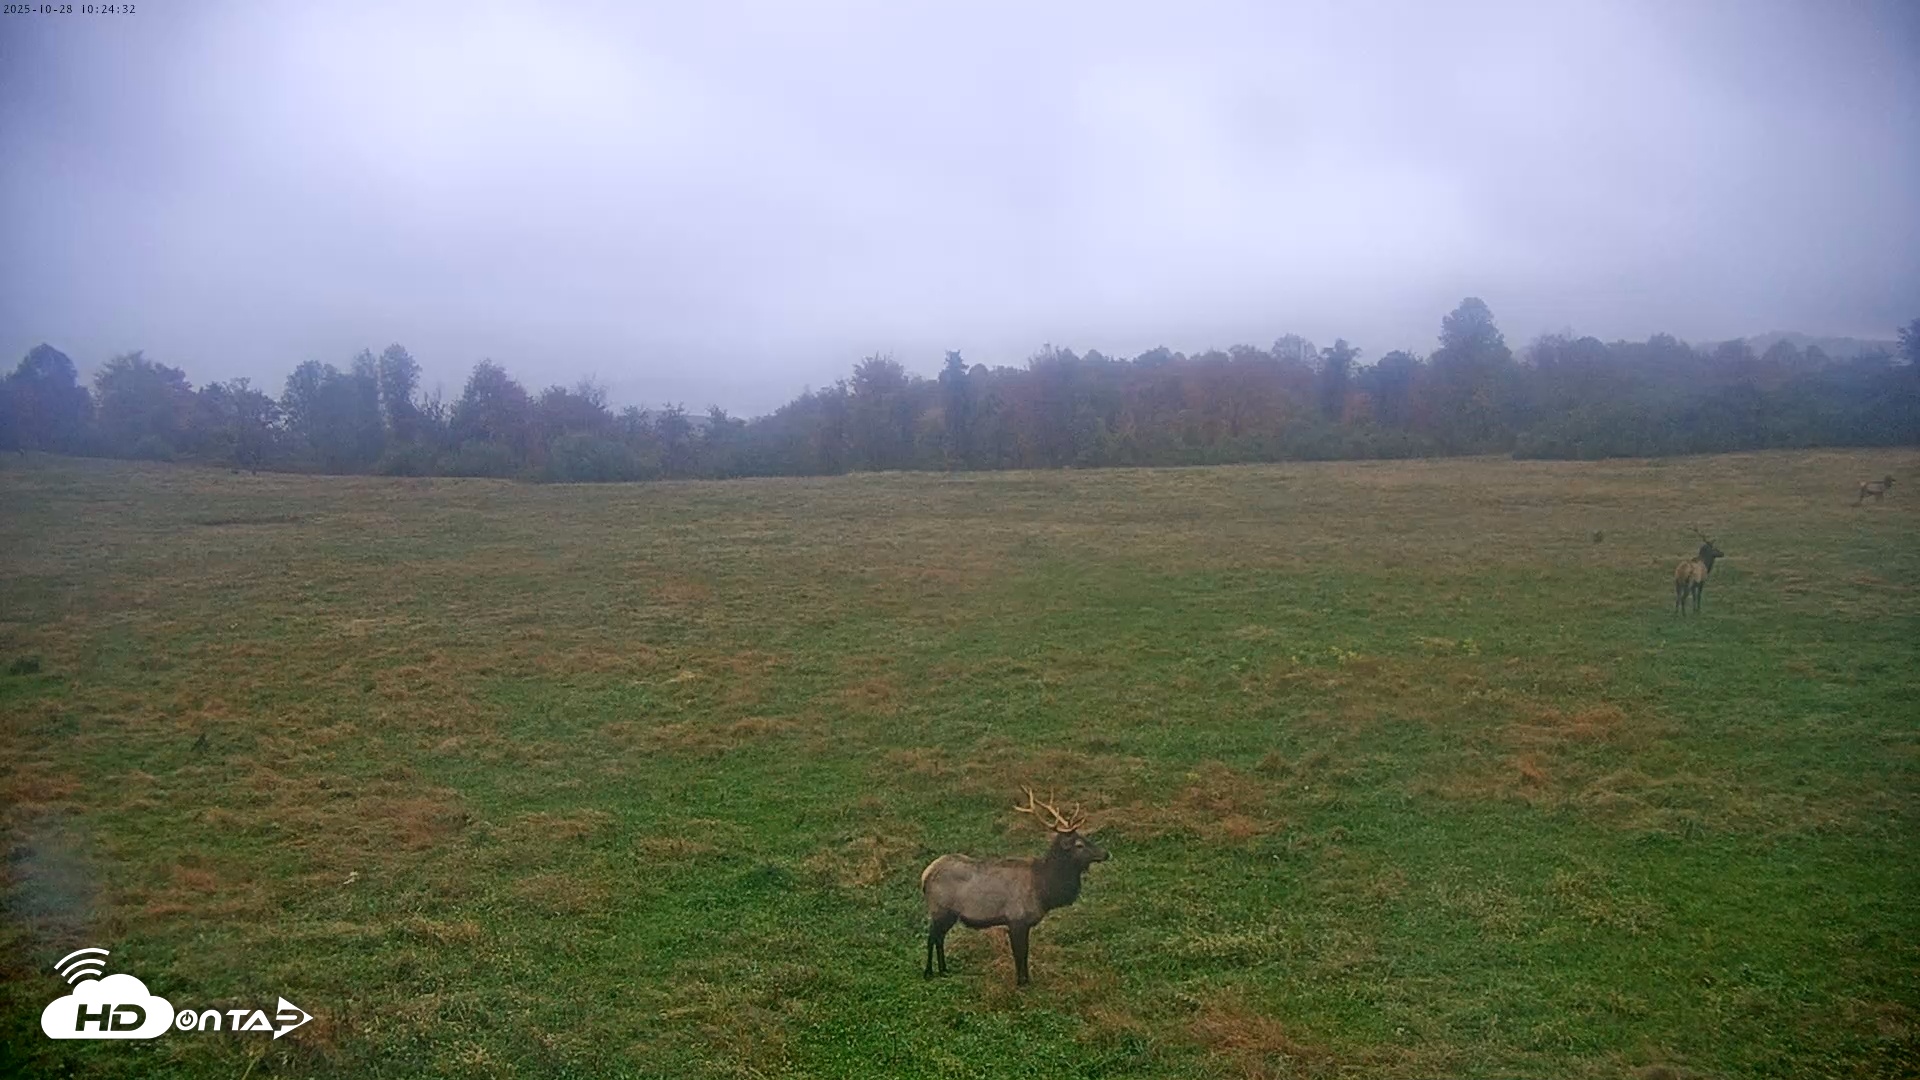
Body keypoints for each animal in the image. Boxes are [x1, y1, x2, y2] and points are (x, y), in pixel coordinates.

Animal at [919, 789, 1109, 986]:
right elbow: (1019, 952)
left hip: (948, 915)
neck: (1044, 890)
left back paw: (944, 970)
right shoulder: (1016, 919)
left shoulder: (1023, 923)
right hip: (940, 910)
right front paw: (1021, 982)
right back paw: (929, 972)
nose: (1106, 853)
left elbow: (1024, 952)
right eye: (1079, 844)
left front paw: (1027, 979)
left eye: (1086, 837)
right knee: (932, 937)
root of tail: (925, 875)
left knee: (940, 938)